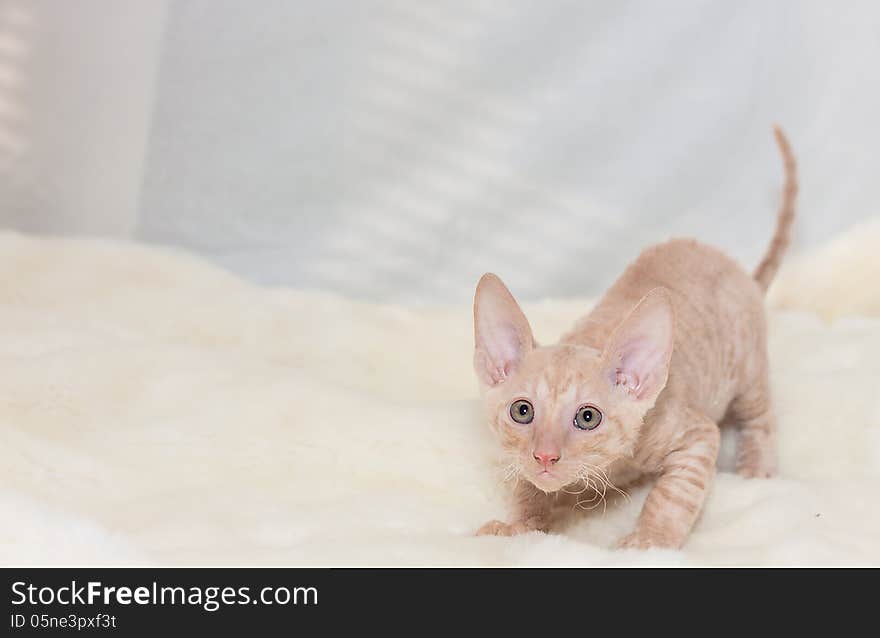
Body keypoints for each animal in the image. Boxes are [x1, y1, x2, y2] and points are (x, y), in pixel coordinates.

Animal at [474, 126, 796, 552]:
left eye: (588, 417)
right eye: (522, 411)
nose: (545, 456)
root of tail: (736, 268)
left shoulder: (694, 434)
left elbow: (673, 494)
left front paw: (650, 539)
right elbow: (530, 489)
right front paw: (520, 525)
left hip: (748, 367)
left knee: (759, 416)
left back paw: (756, 470)